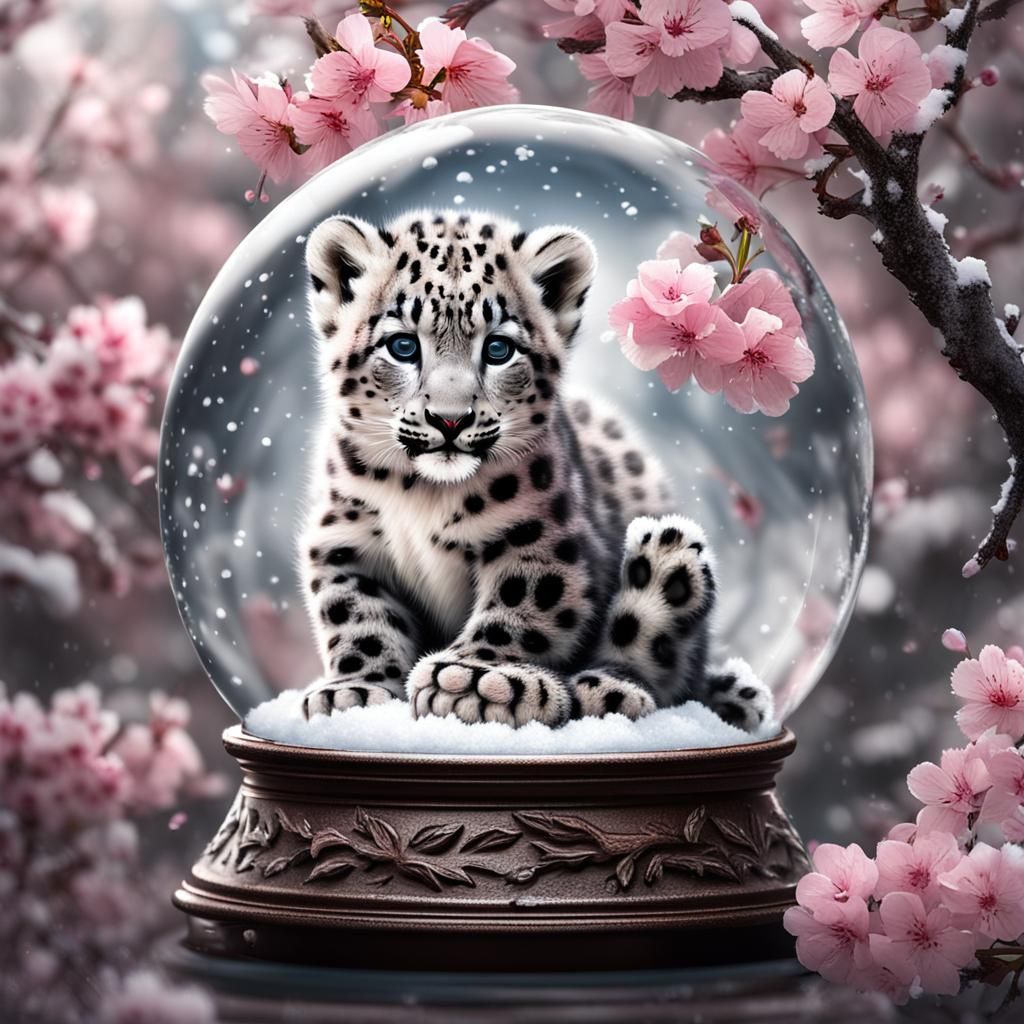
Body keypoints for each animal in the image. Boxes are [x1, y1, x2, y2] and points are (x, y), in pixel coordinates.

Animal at [297, 208, 773, 733]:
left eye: (498, 349)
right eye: (402, 346)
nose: (450, 419)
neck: (422, 494)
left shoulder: (540, 536)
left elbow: (524, 603)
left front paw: (473, 680)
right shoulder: (344, 538)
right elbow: (358, 615)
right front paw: (354, 691)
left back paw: (612, 682)